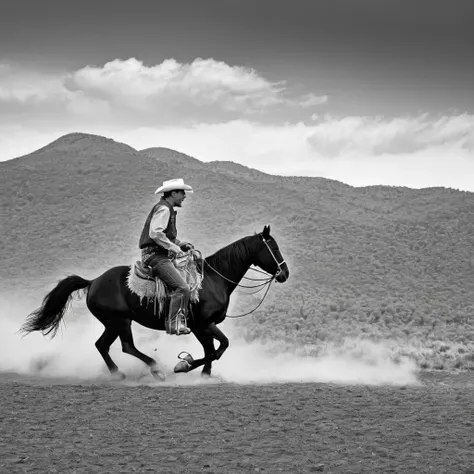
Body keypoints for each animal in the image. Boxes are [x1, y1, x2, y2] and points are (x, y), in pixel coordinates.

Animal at [20, 226, 288, 382]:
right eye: (273, 247)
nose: (284, 273)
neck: (213, 279)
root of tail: (94, 281)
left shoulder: (204, 327)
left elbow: (213, 350)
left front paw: (204, 375)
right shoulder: (203, 324)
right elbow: (218, 348)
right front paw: (183, 365)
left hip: (112, 323)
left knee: (102, 345)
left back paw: (118, 373)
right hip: (120, 321)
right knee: (126, 346)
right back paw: (156, 369)